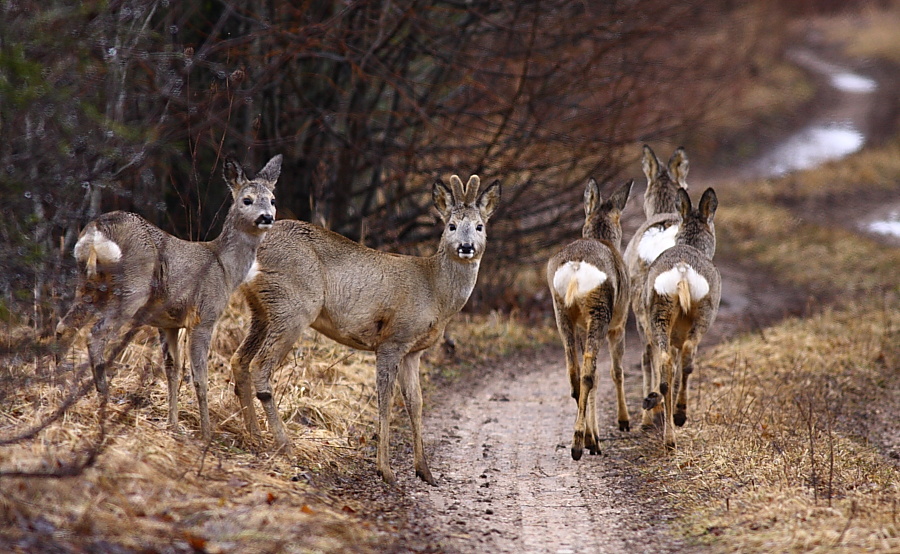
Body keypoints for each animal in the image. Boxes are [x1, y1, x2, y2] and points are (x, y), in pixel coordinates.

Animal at [56, 153, 282, 438]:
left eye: (272, 199)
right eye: (247, 200)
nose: (266, 217)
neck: (225, 268)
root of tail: (96, 231)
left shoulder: (168, 323)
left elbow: (173, 371)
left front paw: (173, 425)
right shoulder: (204, 317)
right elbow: (200, 376)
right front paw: (206, 433)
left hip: (88, 284)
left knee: (65, 327)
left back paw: (57, 387)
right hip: (132, 289)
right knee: (95, 335)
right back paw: (102, 397)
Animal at [230, 174, 500, 484]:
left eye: (480, 226)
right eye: (451, 226)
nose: (466, 246)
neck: (435, 290)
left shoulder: (414, 351)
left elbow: (415, 402)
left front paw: (425, 471)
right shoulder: (393, 339)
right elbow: (386, 400)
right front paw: (386, 470)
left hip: (261, 310)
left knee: (239, 359)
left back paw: (255, 436)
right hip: (292, 306)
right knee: (260, 366)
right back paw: (285, 446)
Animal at [548, 177, 632, 458]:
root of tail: (576, 267)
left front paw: (593, 434)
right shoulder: (619, 323)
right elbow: (616, 370)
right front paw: (623, 421)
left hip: (561, 310)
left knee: (574, 371)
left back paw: (585, 439)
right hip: (600, 313)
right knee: (589, 373)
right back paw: (581, 443)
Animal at [640, 188, 724, 446]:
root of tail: (682, 271)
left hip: (660, 311)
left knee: (665, 364)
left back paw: (669, 438)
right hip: (704, 311)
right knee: (687, 358)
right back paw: (679, 416)